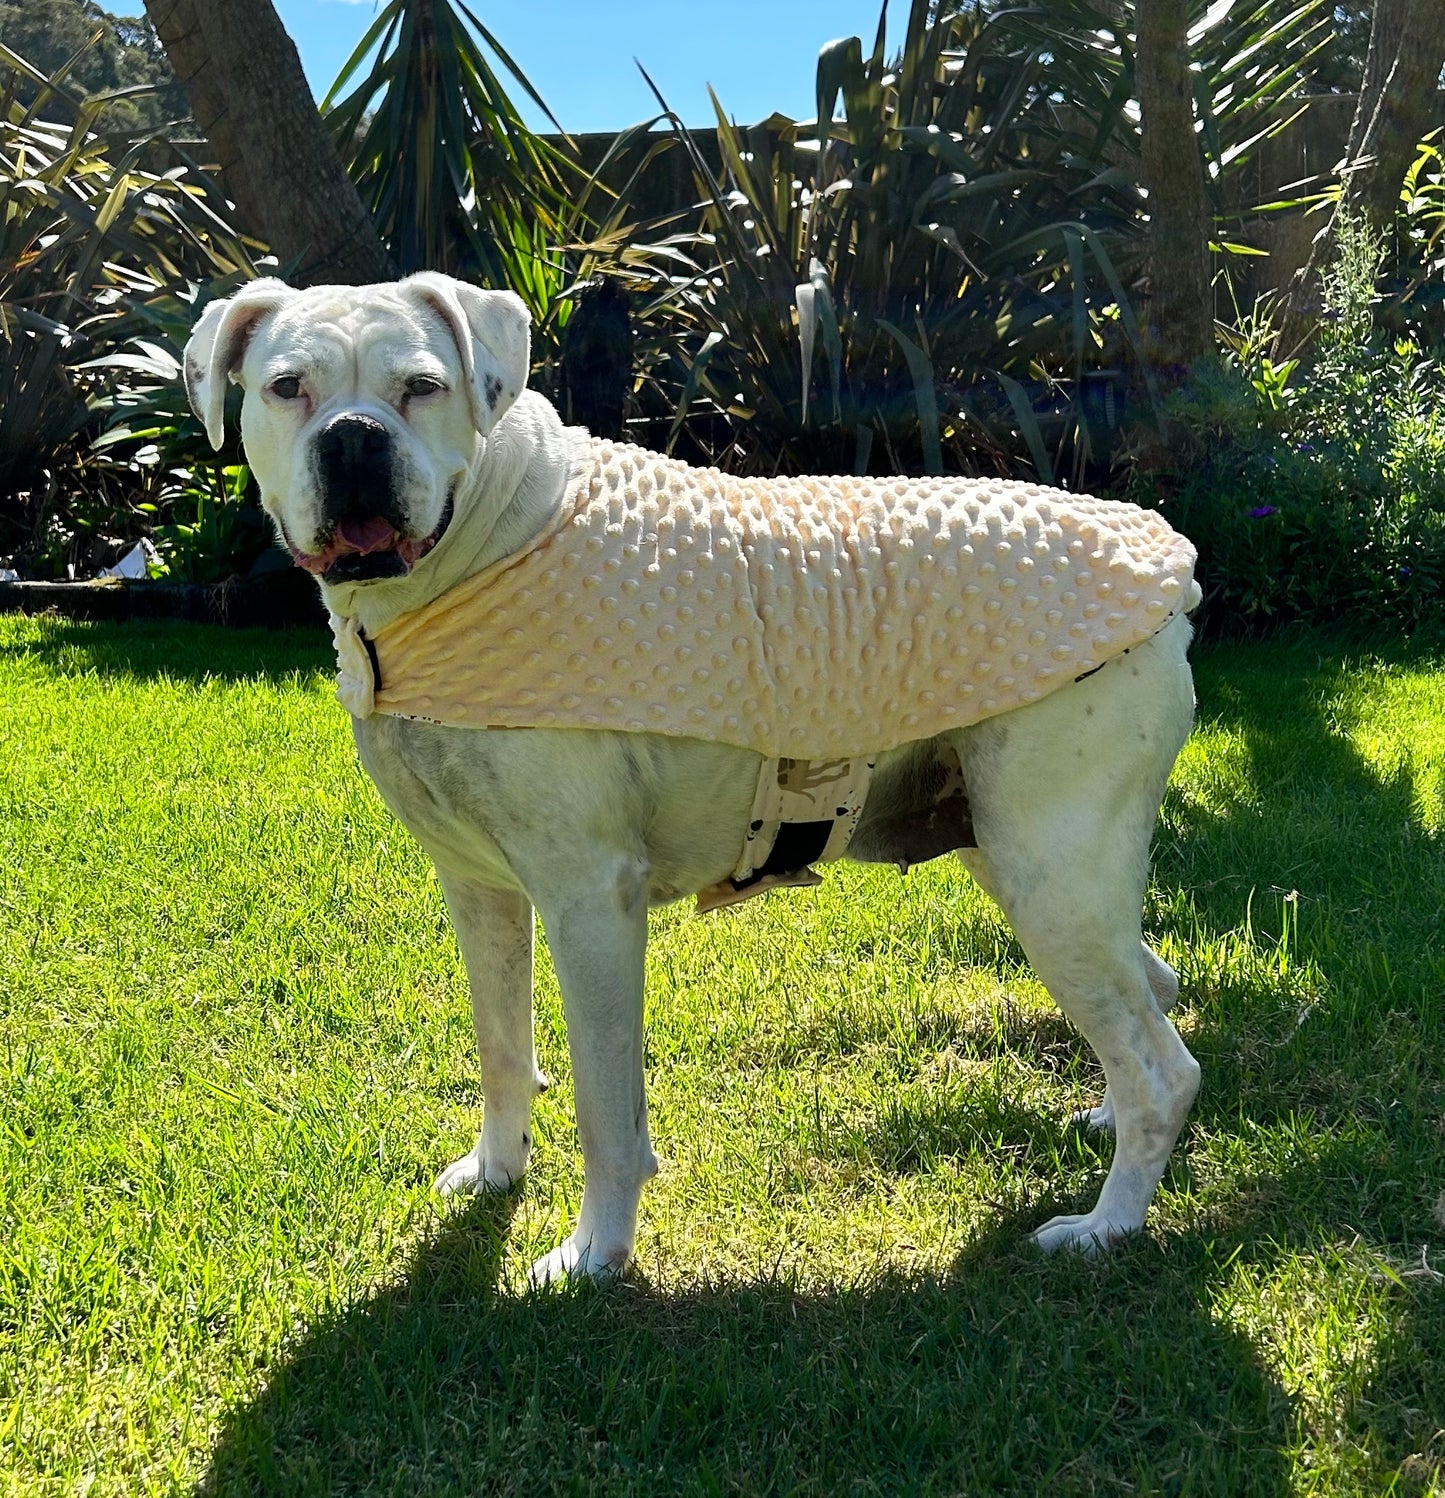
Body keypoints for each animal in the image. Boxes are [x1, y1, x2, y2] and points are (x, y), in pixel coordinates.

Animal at [184, 272, 1202, 1284]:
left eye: (422, 387)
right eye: (287, 387)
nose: (353, 438)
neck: (483, 545)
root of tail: (1166, 567)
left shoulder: (590, 901)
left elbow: (605, 1107)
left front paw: (592, 1254)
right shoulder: (478, 890)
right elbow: (502, 1049)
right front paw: (496, 1172)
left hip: (1050, 877)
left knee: (1164, 1068)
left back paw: (1106, 1226)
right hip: (1017, 858)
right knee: (1150, 996)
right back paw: (1105, 1124)